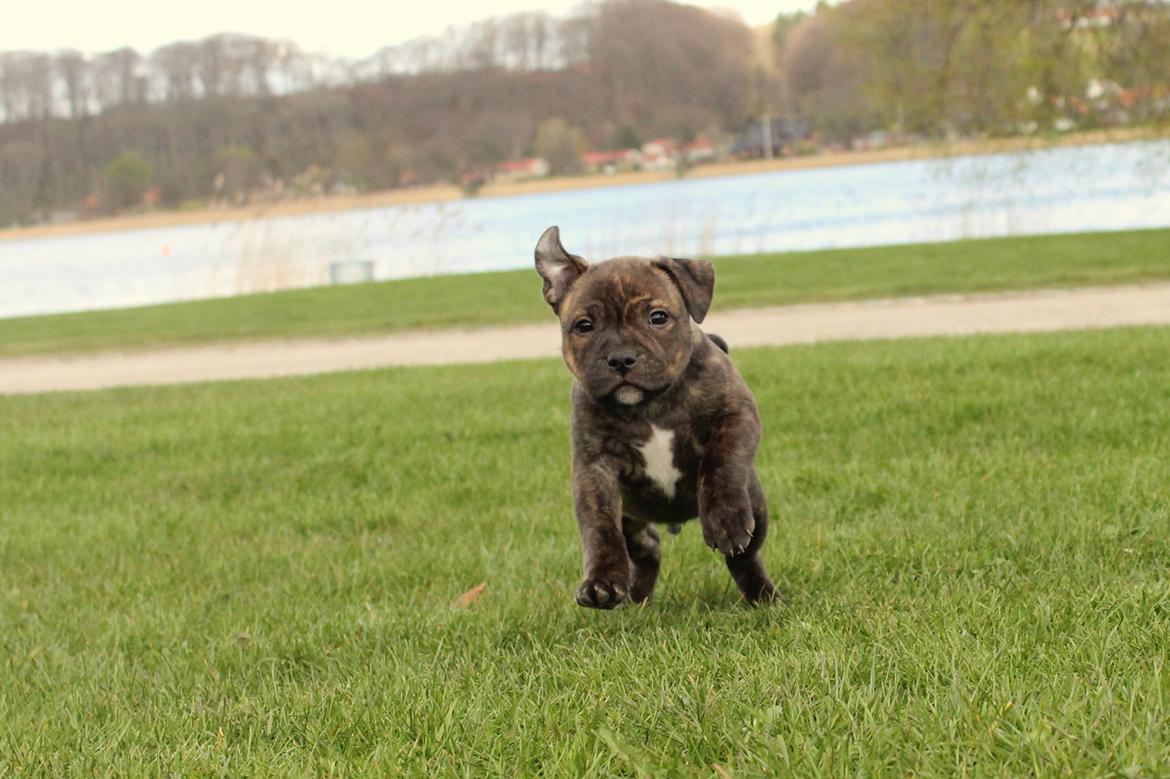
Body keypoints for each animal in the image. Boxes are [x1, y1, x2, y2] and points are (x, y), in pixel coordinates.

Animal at [535, 224, 781, 608]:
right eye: (584, 326)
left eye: (658, 318)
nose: (621, 358)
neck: (650, 405)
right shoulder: (595, 468)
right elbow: (599, 527)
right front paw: (601, 580)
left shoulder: (736, 415)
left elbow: (721, 462)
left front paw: (724, 518)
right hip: (632, 518)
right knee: (646, 546)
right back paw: (637, 598)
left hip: (757, 510)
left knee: (744, 556)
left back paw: (762, 595)